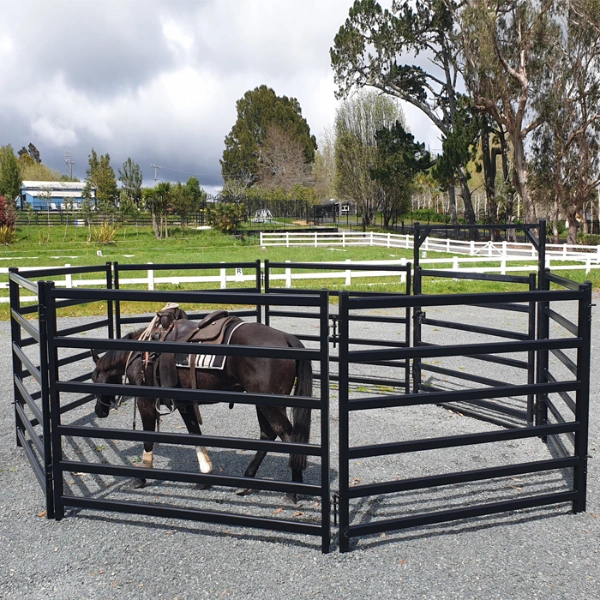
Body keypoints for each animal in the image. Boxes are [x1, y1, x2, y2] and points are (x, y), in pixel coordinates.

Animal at [91, 322, 314, 500]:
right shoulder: (185, 403)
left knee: (287, 436)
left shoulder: (146, 402)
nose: (99, 411)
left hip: (270, 405)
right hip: (264, 404)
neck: (140, 354)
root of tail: (286, 338)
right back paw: (248, 481)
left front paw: (141, 477)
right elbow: (195, 435)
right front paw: (204, 476)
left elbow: (148, 438)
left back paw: (293, 490)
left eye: (94, 378)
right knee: (268, 435)